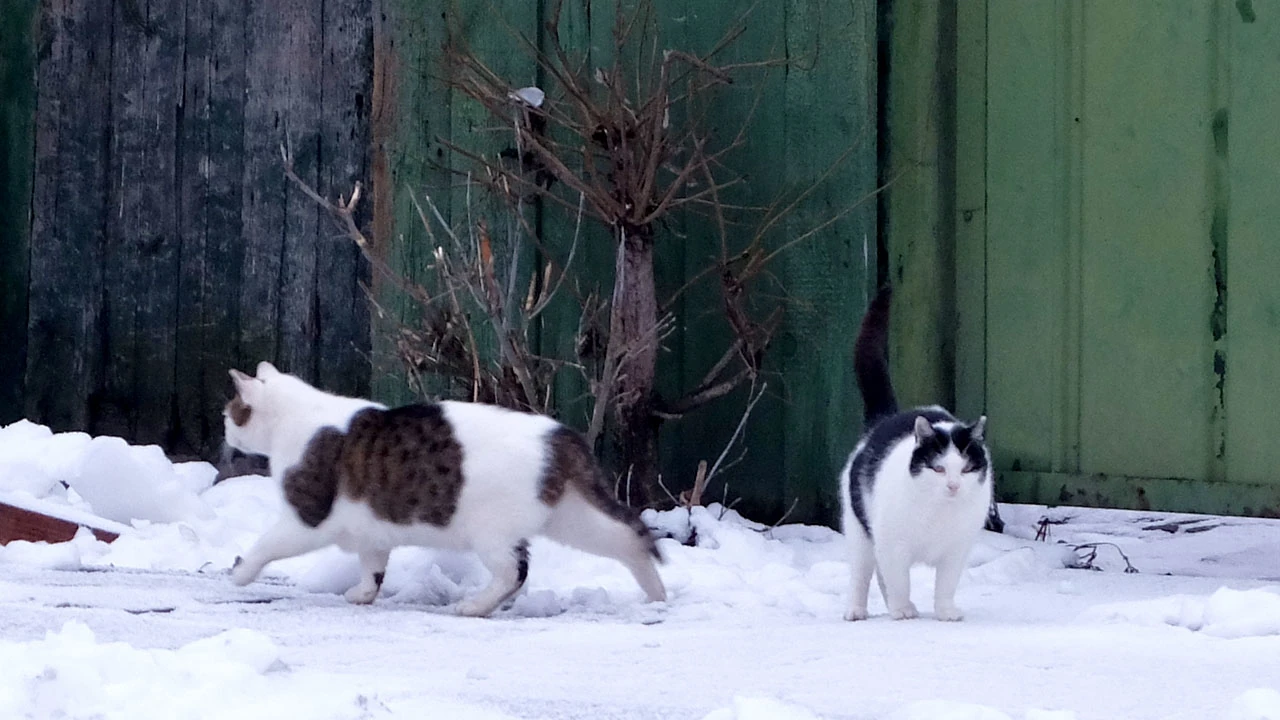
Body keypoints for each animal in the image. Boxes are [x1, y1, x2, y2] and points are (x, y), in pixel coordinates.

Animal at [221, 361, 665, 614]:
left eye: (229, 412)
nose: (225, 429)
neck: (293, 416)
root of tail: (561, 437)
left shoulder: (307, 516)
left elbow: (267, 544)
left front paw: (241, 573)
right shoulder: (369, 527)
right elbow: (373, 566)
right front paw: (363, 594)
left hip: (492, 530)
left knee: (514, 572)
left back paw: (475, 607)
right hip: (572, 518)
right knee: (627, 539)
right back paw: (656, 592)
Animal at [834, 285, 993, 617]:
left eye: (966, 469)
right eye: (938, 468)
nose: (953, 486)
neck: (938, 511)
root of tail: (884, 419)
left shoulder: (956, 550)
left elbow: (945, 584)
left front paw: (945, 611)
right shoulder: (893, 544)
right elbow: (898, 579)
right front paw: (902, 610)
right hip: (860, 530)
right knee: (862, 573)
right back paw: (858, 610)